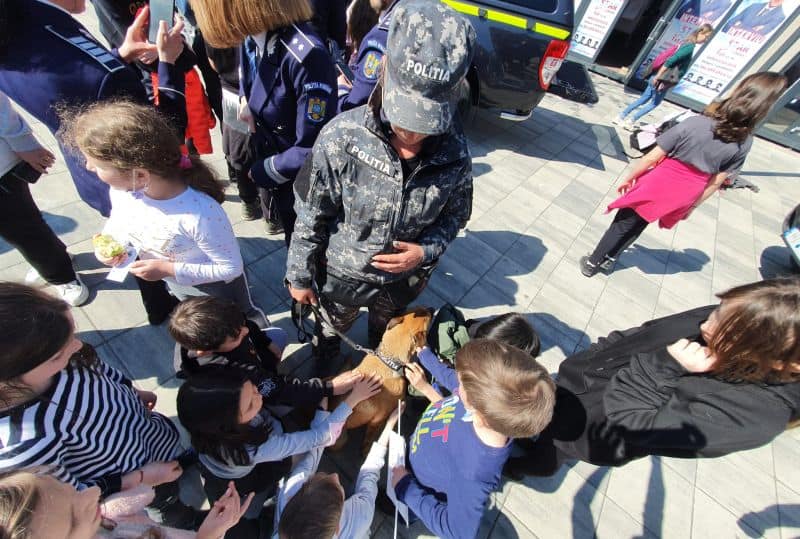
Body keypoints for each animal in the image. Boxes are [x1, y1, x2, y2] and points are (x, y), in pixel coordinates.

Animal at [332, 306, 432, 454]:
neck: (388, 360)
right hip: (341, 440)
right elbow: (370, 436)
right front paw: (367, 450)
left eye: (421, 309)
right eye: (428, 317)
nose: (432, 308)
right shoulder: (378, 419)